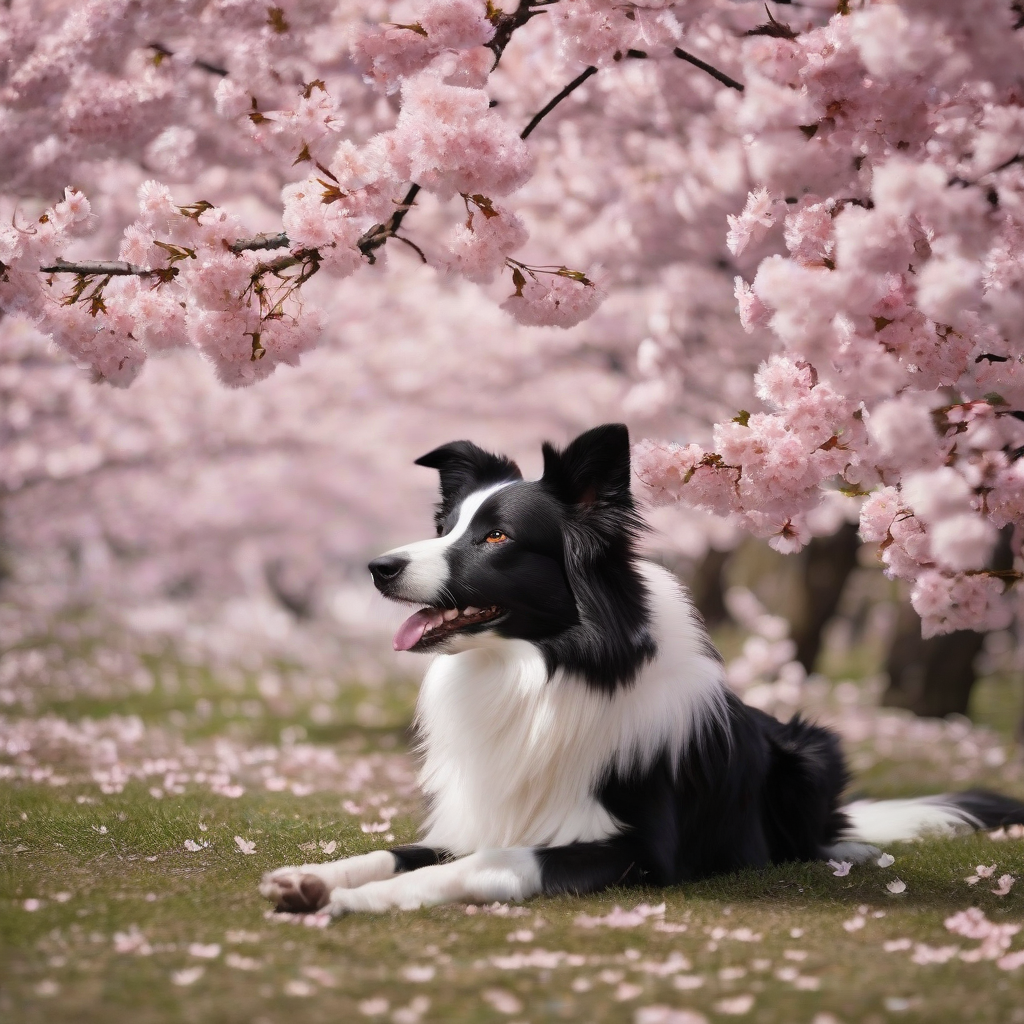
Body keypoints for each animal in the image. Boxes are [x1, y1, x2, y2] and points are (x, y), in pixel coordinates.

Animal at [262, 419, 1024, 917]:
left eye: (497, 537)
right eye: (447, 527)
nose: (379, 567)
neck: (540, 674)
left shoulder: (637, 848)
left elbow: (497, 861)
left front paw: (365, 900)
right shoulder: (472, 818)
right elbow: (401, 851)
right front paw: (317, 877)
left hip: (812, 748)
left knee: (827, 835)